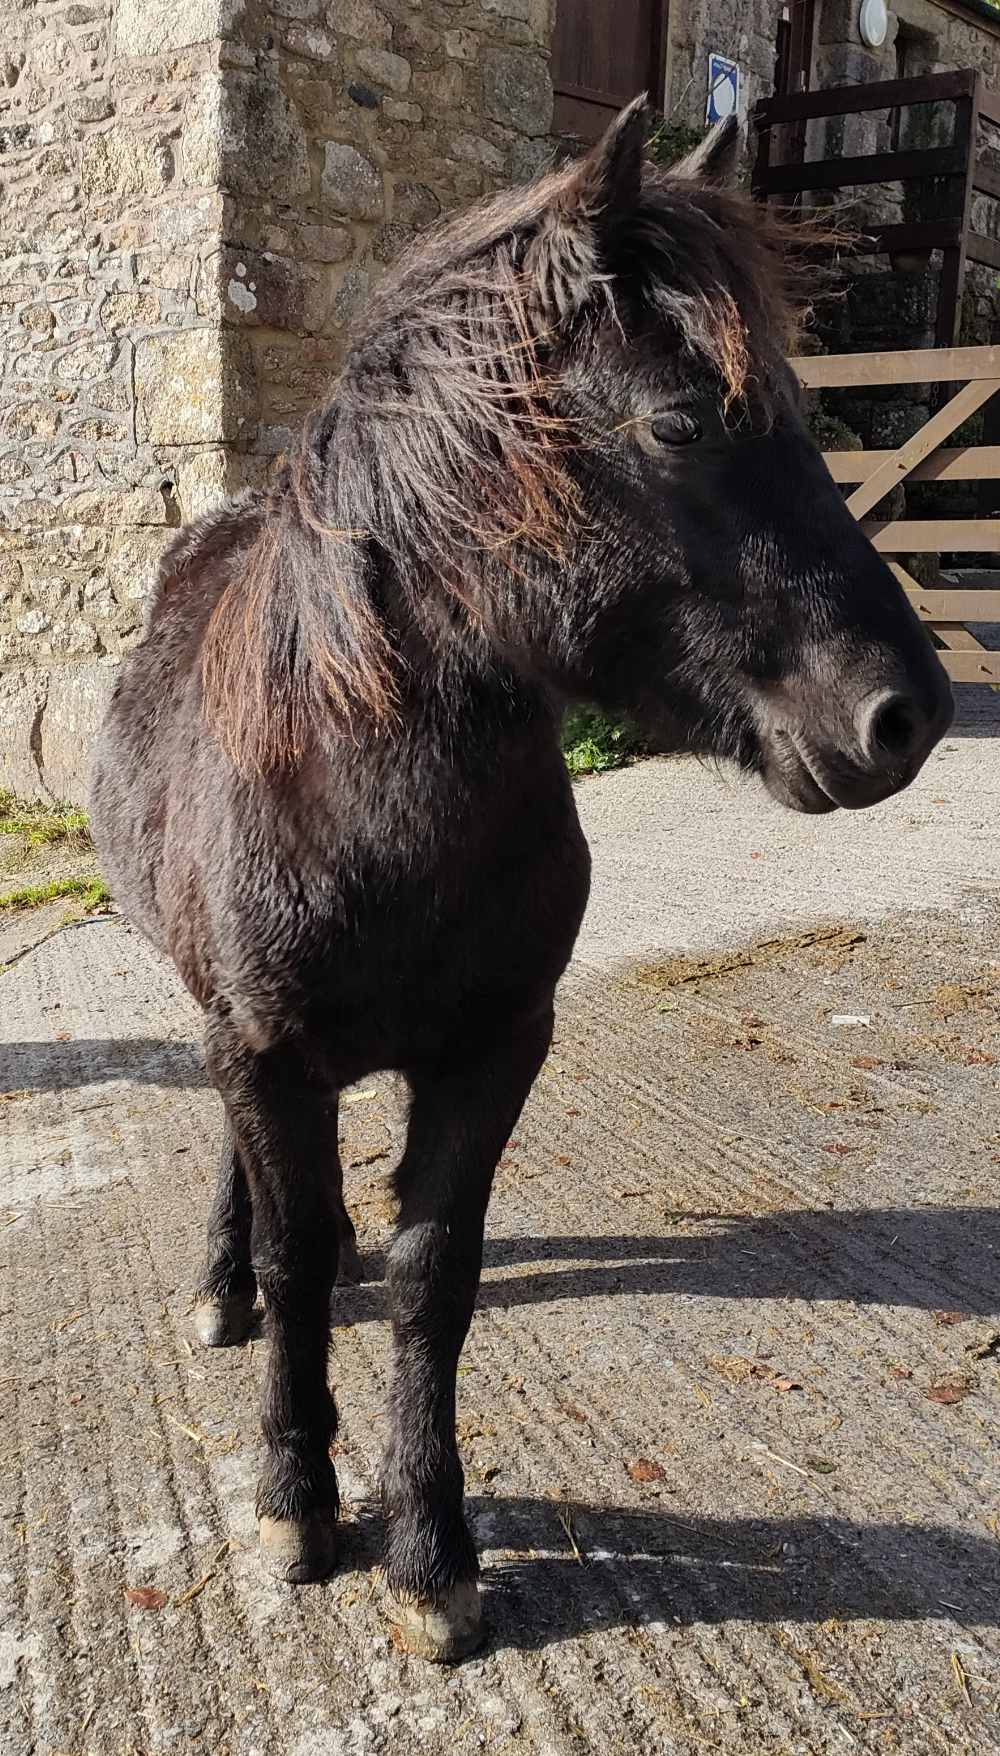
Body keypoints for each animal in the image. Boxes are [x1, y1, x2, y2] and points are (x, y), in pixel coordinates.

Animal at [90, 98, 953, 1662]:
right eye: (681, 421)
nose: (906, 714)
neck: (363, 799)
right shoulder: (268, 1044)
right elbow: (301, 1259)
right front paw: (296, 1497)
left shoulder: (494, 1050)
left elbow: (435, 1273)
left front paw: (431, 1551)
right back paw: (218, 1288)